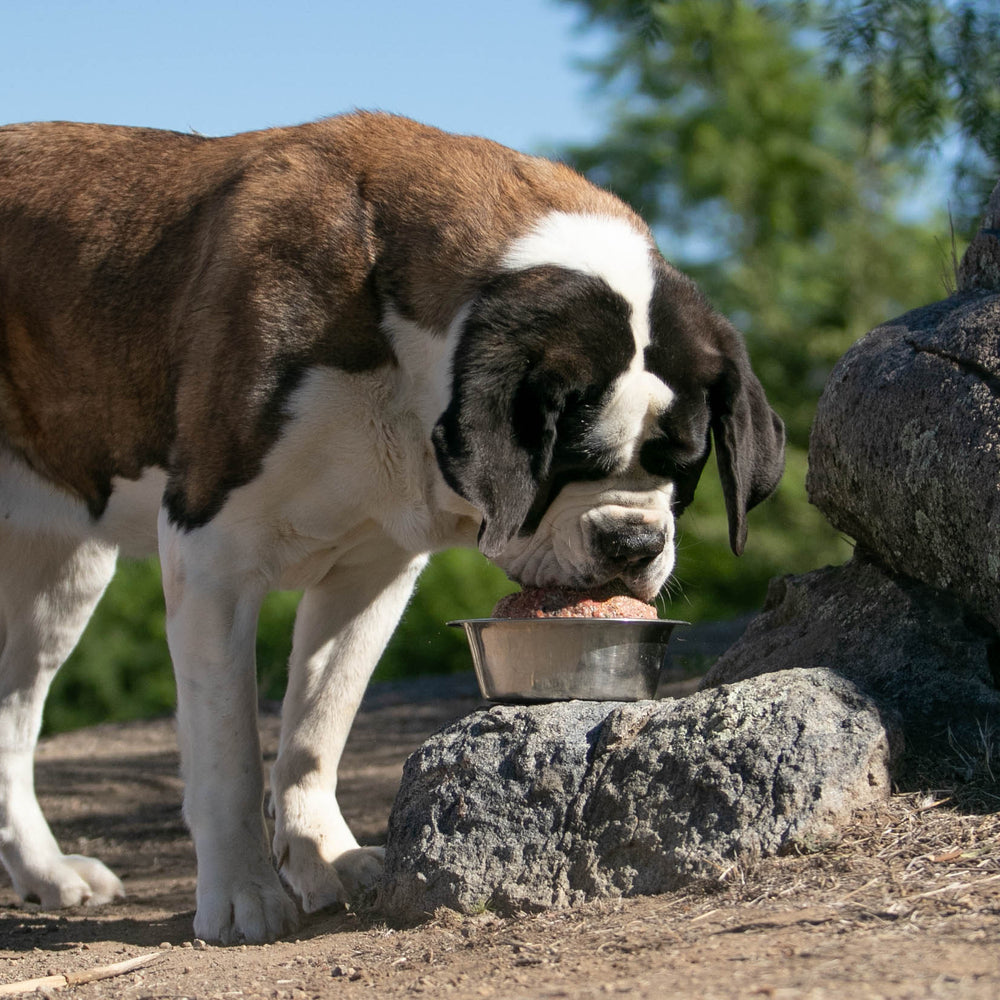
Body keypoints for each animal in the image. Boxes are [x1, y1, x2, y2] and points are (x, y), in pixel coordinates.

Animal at [0, 113, 784, 940]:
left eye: (684, 466)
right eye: (571, 458)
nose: (632, 543)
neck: (392, 326)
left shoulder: (371, 573)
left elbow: (318, 723)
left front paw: (323, 856)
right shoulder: (213, 555)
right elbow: (228, 750)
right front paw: (244, 892)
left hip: (65, 579)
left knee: (12, 716)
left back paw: (45, 872)